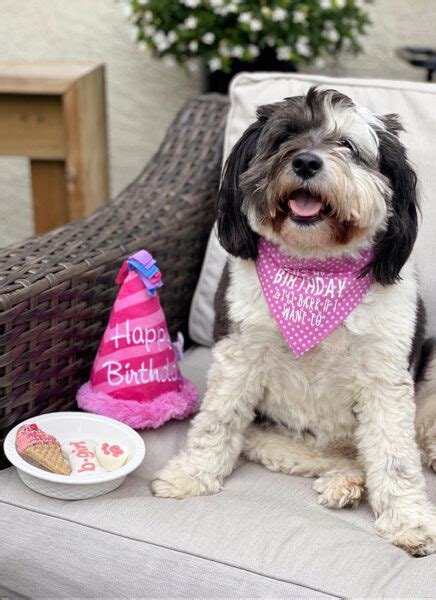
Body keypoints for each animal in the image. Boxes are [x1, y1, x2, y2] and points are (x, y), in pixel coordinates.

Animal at [152, 86, 436, 556]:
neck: (314, 267)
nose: (305, 162)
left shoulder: (385, 377)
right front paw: (190, 475)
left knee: (404, 437)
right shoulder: (238, 355)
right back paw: (345, 482)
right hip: (275, 438)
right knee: (342, 457)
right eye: (285, 137)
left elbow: (396, 456)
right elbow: (216, 422)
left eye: (348, 146)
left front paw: (409, 520)